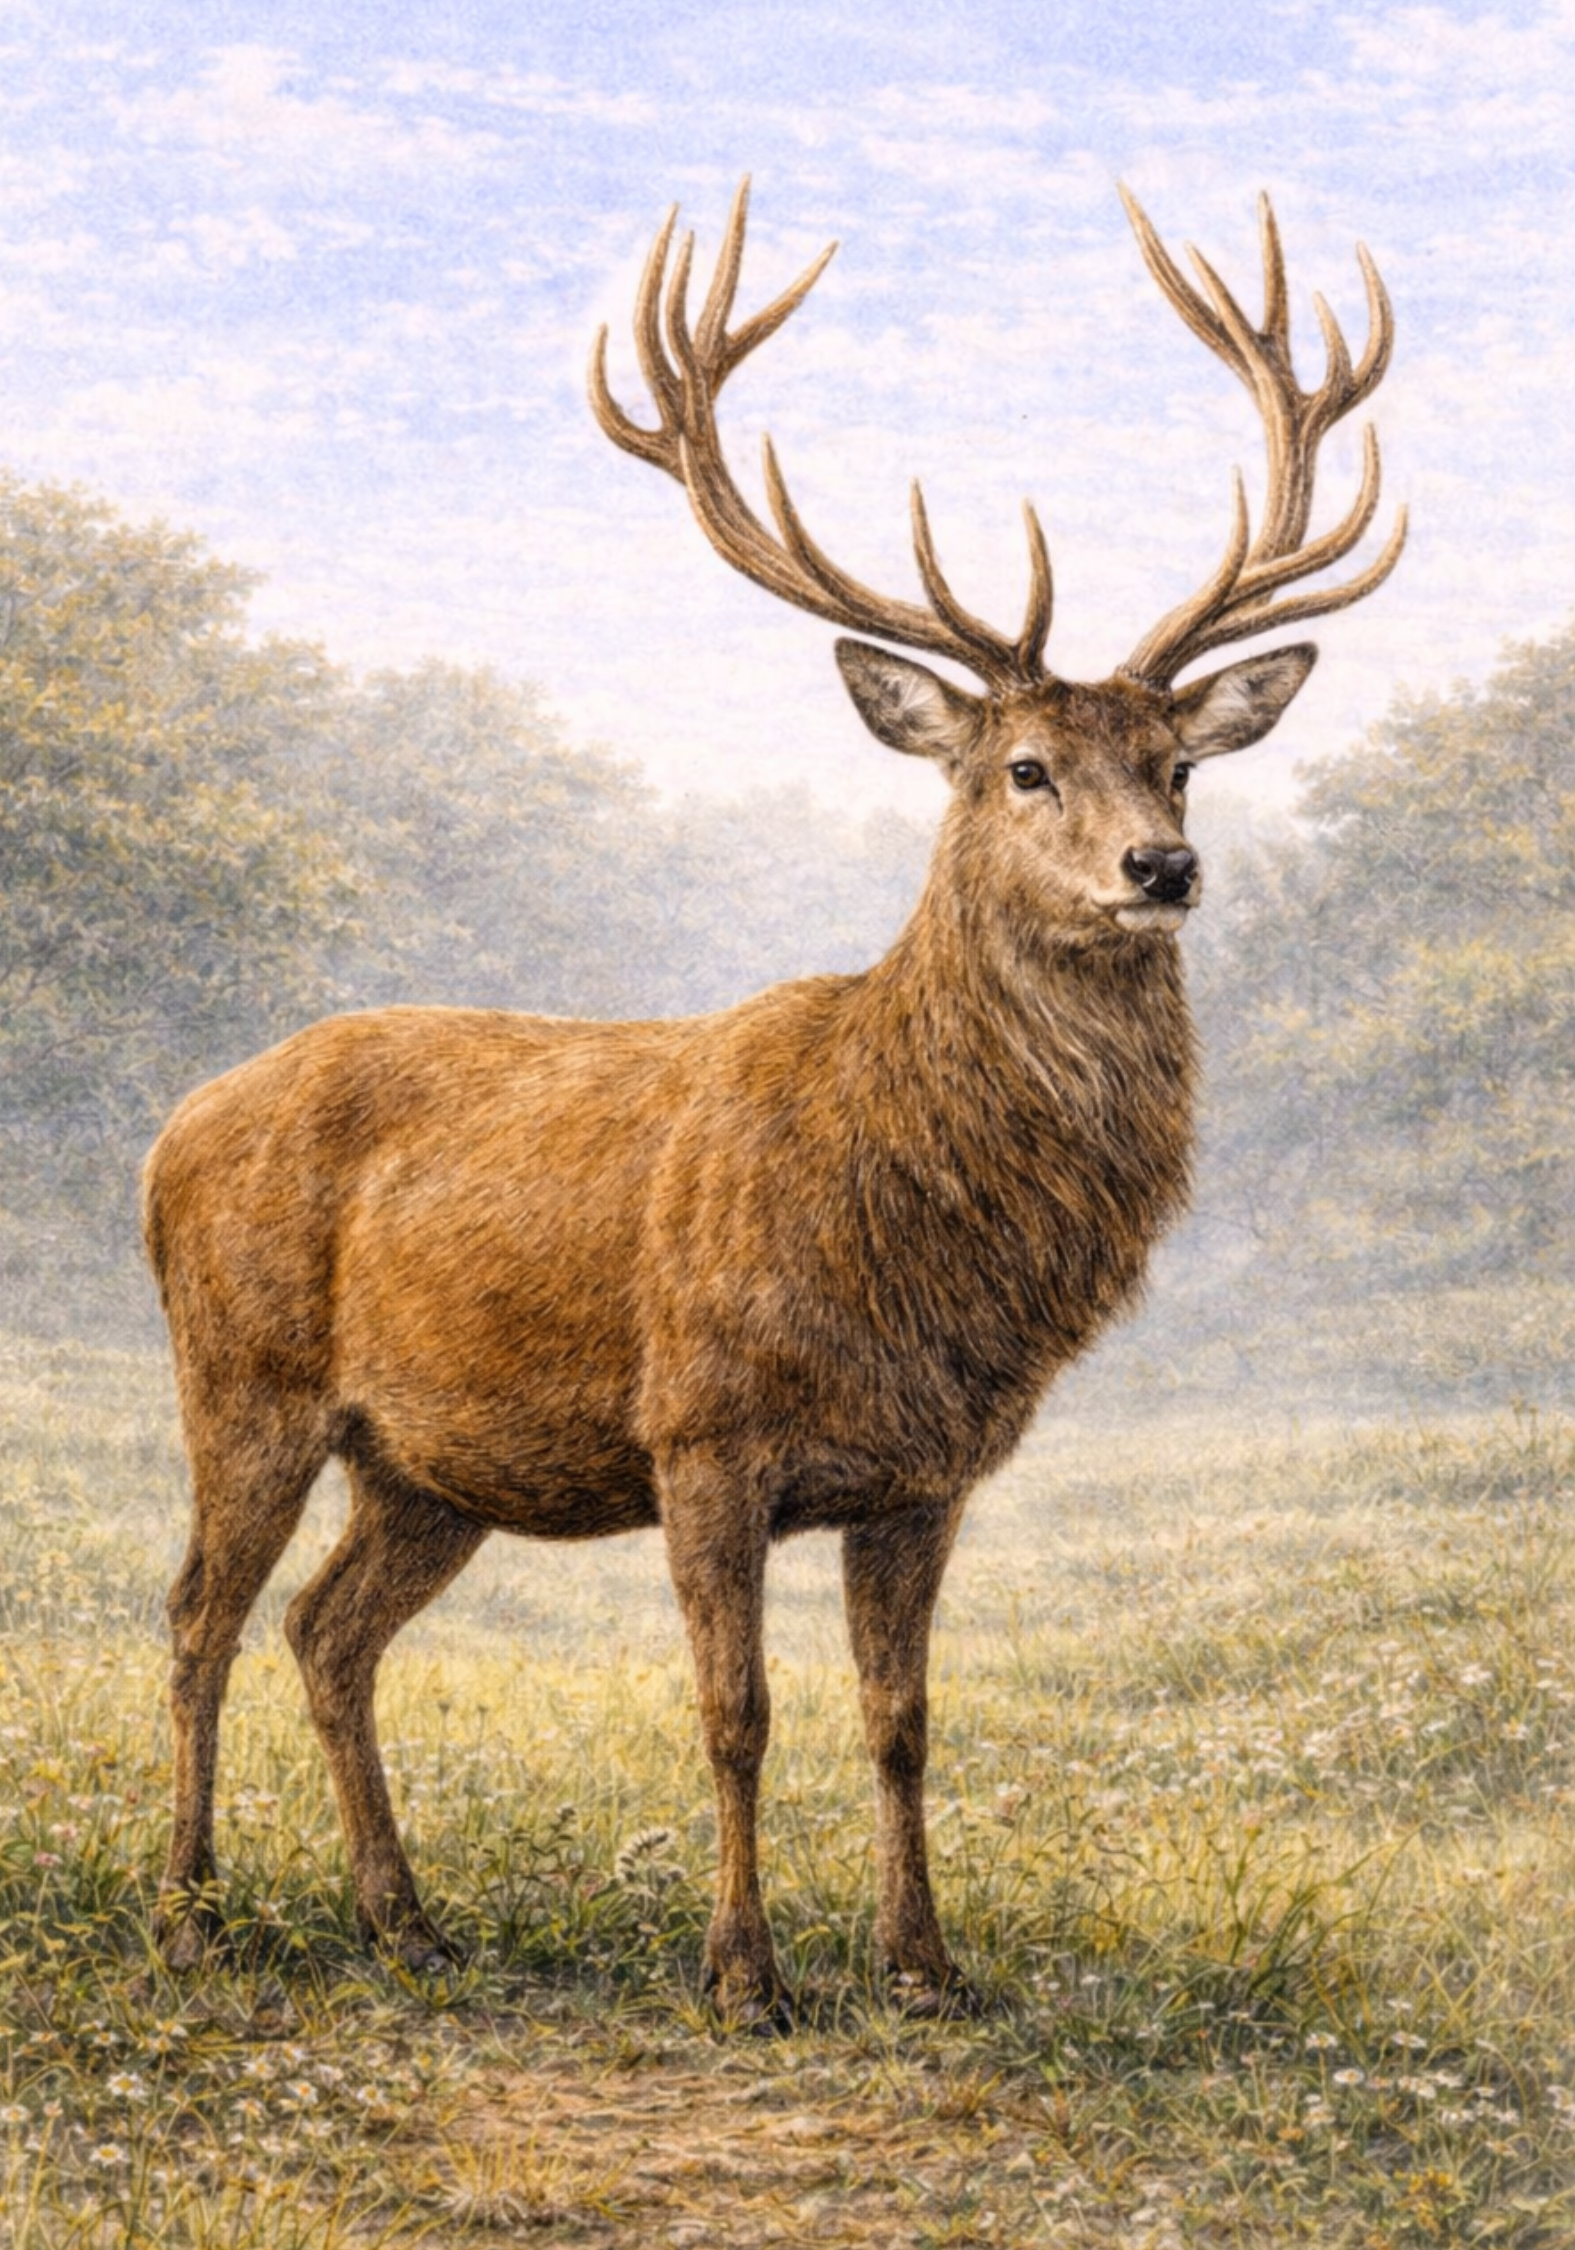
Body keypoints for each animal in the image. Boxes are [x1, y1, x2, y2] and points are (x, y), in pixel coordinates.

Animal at [144, 181, 1404, 2020]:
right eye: (1022, 768)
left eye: (1178, 763)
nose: (1163, 869)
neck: (909, 1219)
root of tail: (171, 1128)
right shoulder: (702, 1427)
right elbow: (735, 1712)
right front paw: (744, 1972)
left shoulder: (930, 1470)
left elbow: (900, 1720)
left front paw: (925, 1966)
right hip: (244, 1378)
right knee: (197, 1618)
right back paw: (190, 1910)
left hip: (427, 1462)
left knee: (328, 1629)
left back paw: (406, 1920)